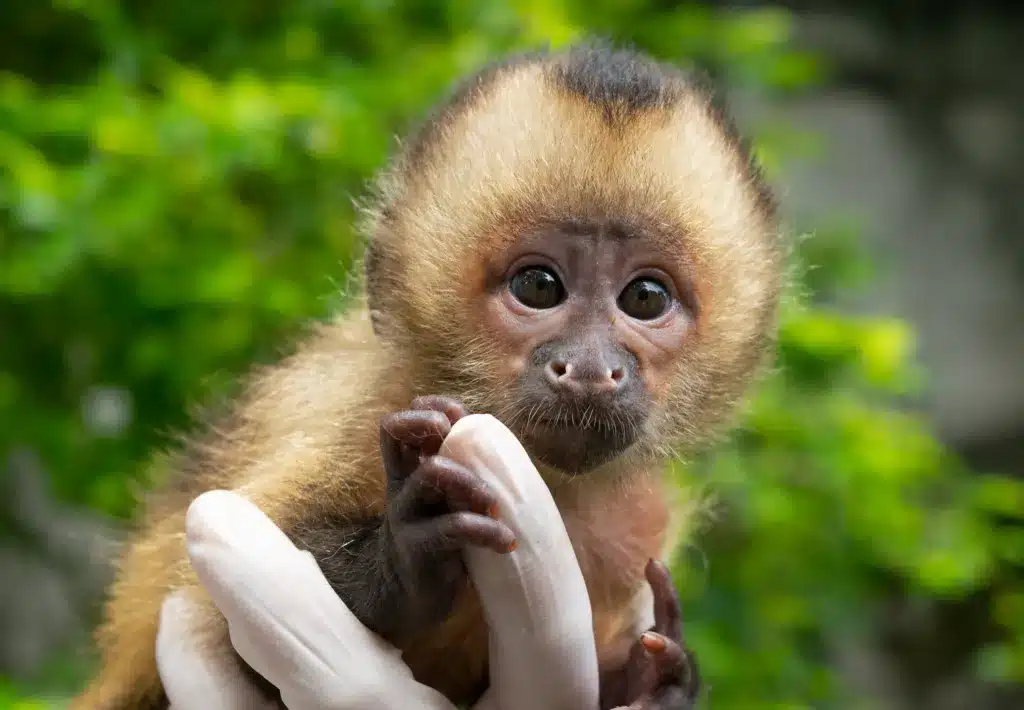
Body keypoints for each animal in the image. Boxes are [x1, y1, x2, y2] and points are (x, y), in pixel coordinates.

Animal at [74, 40, 782, 708]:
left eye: (645, 299)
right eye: (538, 286)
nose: (588, 368)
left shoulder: (636, 522)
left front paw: (656, 681)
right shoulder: (349, 411)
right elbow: (222, 620)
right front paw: (406, 552)